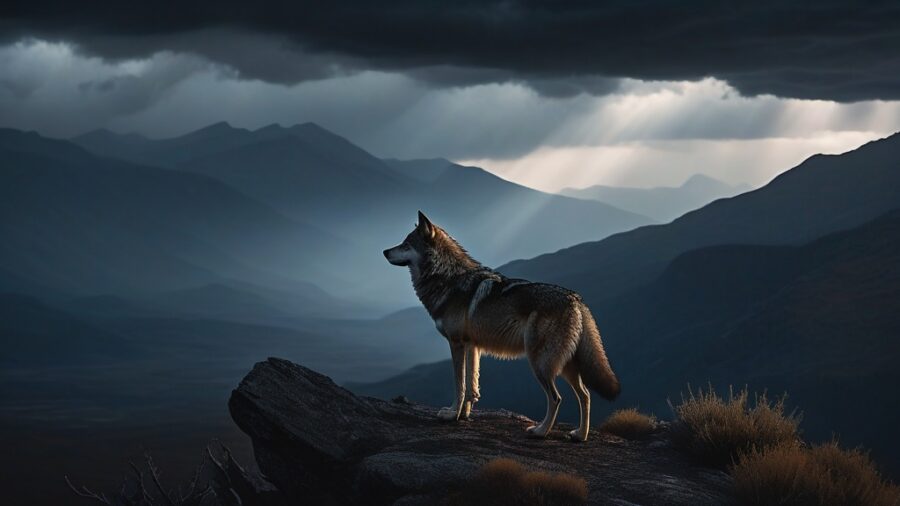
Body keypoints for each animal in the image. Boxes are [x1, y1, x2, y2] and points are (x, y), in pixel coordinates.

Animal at [383, 211, 620, 441]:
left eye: (406, 244)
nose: (384, 251)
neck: (447, 277)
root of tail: (576, 299)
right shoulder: (472, 346)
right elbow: (472, 386)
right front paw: (464, 415)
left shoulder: (456, 343)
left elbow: (459, 385)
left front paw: (451, 414)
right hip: (565, 366)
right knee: (585, 395)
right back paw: (580, 435)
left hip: (541, 364)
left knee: (556, 398)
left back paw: (540, 431)